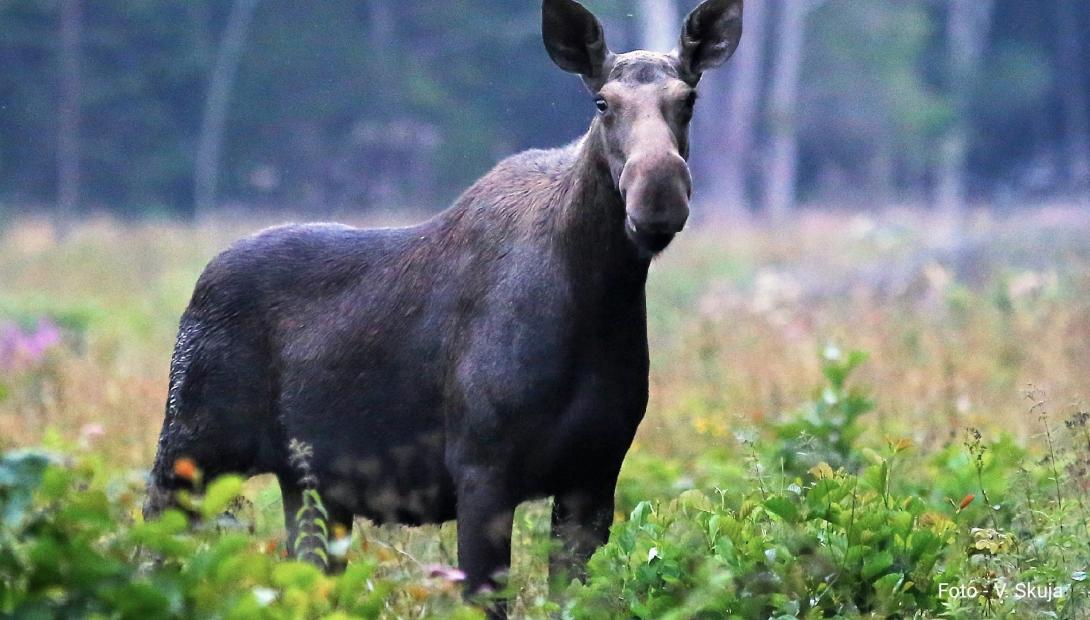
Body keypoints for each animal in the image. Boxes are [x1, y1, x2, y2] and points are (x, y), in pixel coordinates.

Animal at [147, 0, 741, 610]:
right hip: (188, 452)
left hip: (310, 485)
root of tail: (200, 286)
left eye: (688, 99)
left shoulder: (594, 475)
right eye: (602, 103)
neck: (598, 302)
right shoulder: (482, 472)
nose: (659, 194)